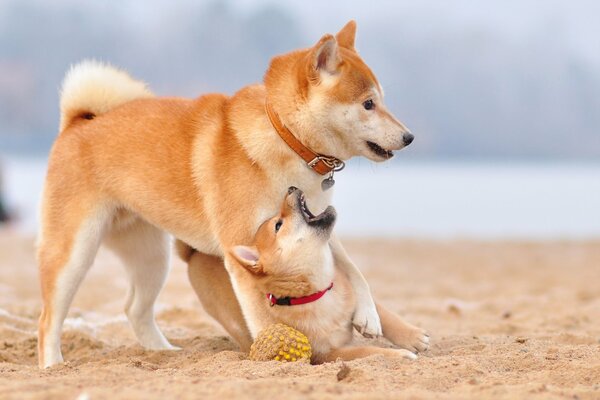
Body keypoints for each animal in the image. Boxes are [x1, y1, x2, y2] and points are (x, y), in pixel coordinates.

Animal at [38, 20, 422, 368]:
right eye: (368, 104)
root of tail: (78, 123)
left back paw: (164, 352)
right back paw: (52, 365)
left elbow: (353, 269)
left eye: (381, 100)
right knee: (48, 319)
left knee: (135, 309)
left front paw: (370, 315)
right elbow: (260, 313)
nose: (409, 137)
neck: (286, 138)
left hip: (151, 257)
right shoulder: (245, 246)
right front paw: (273, 352)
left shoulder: (314, 218)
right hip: (75, 253)